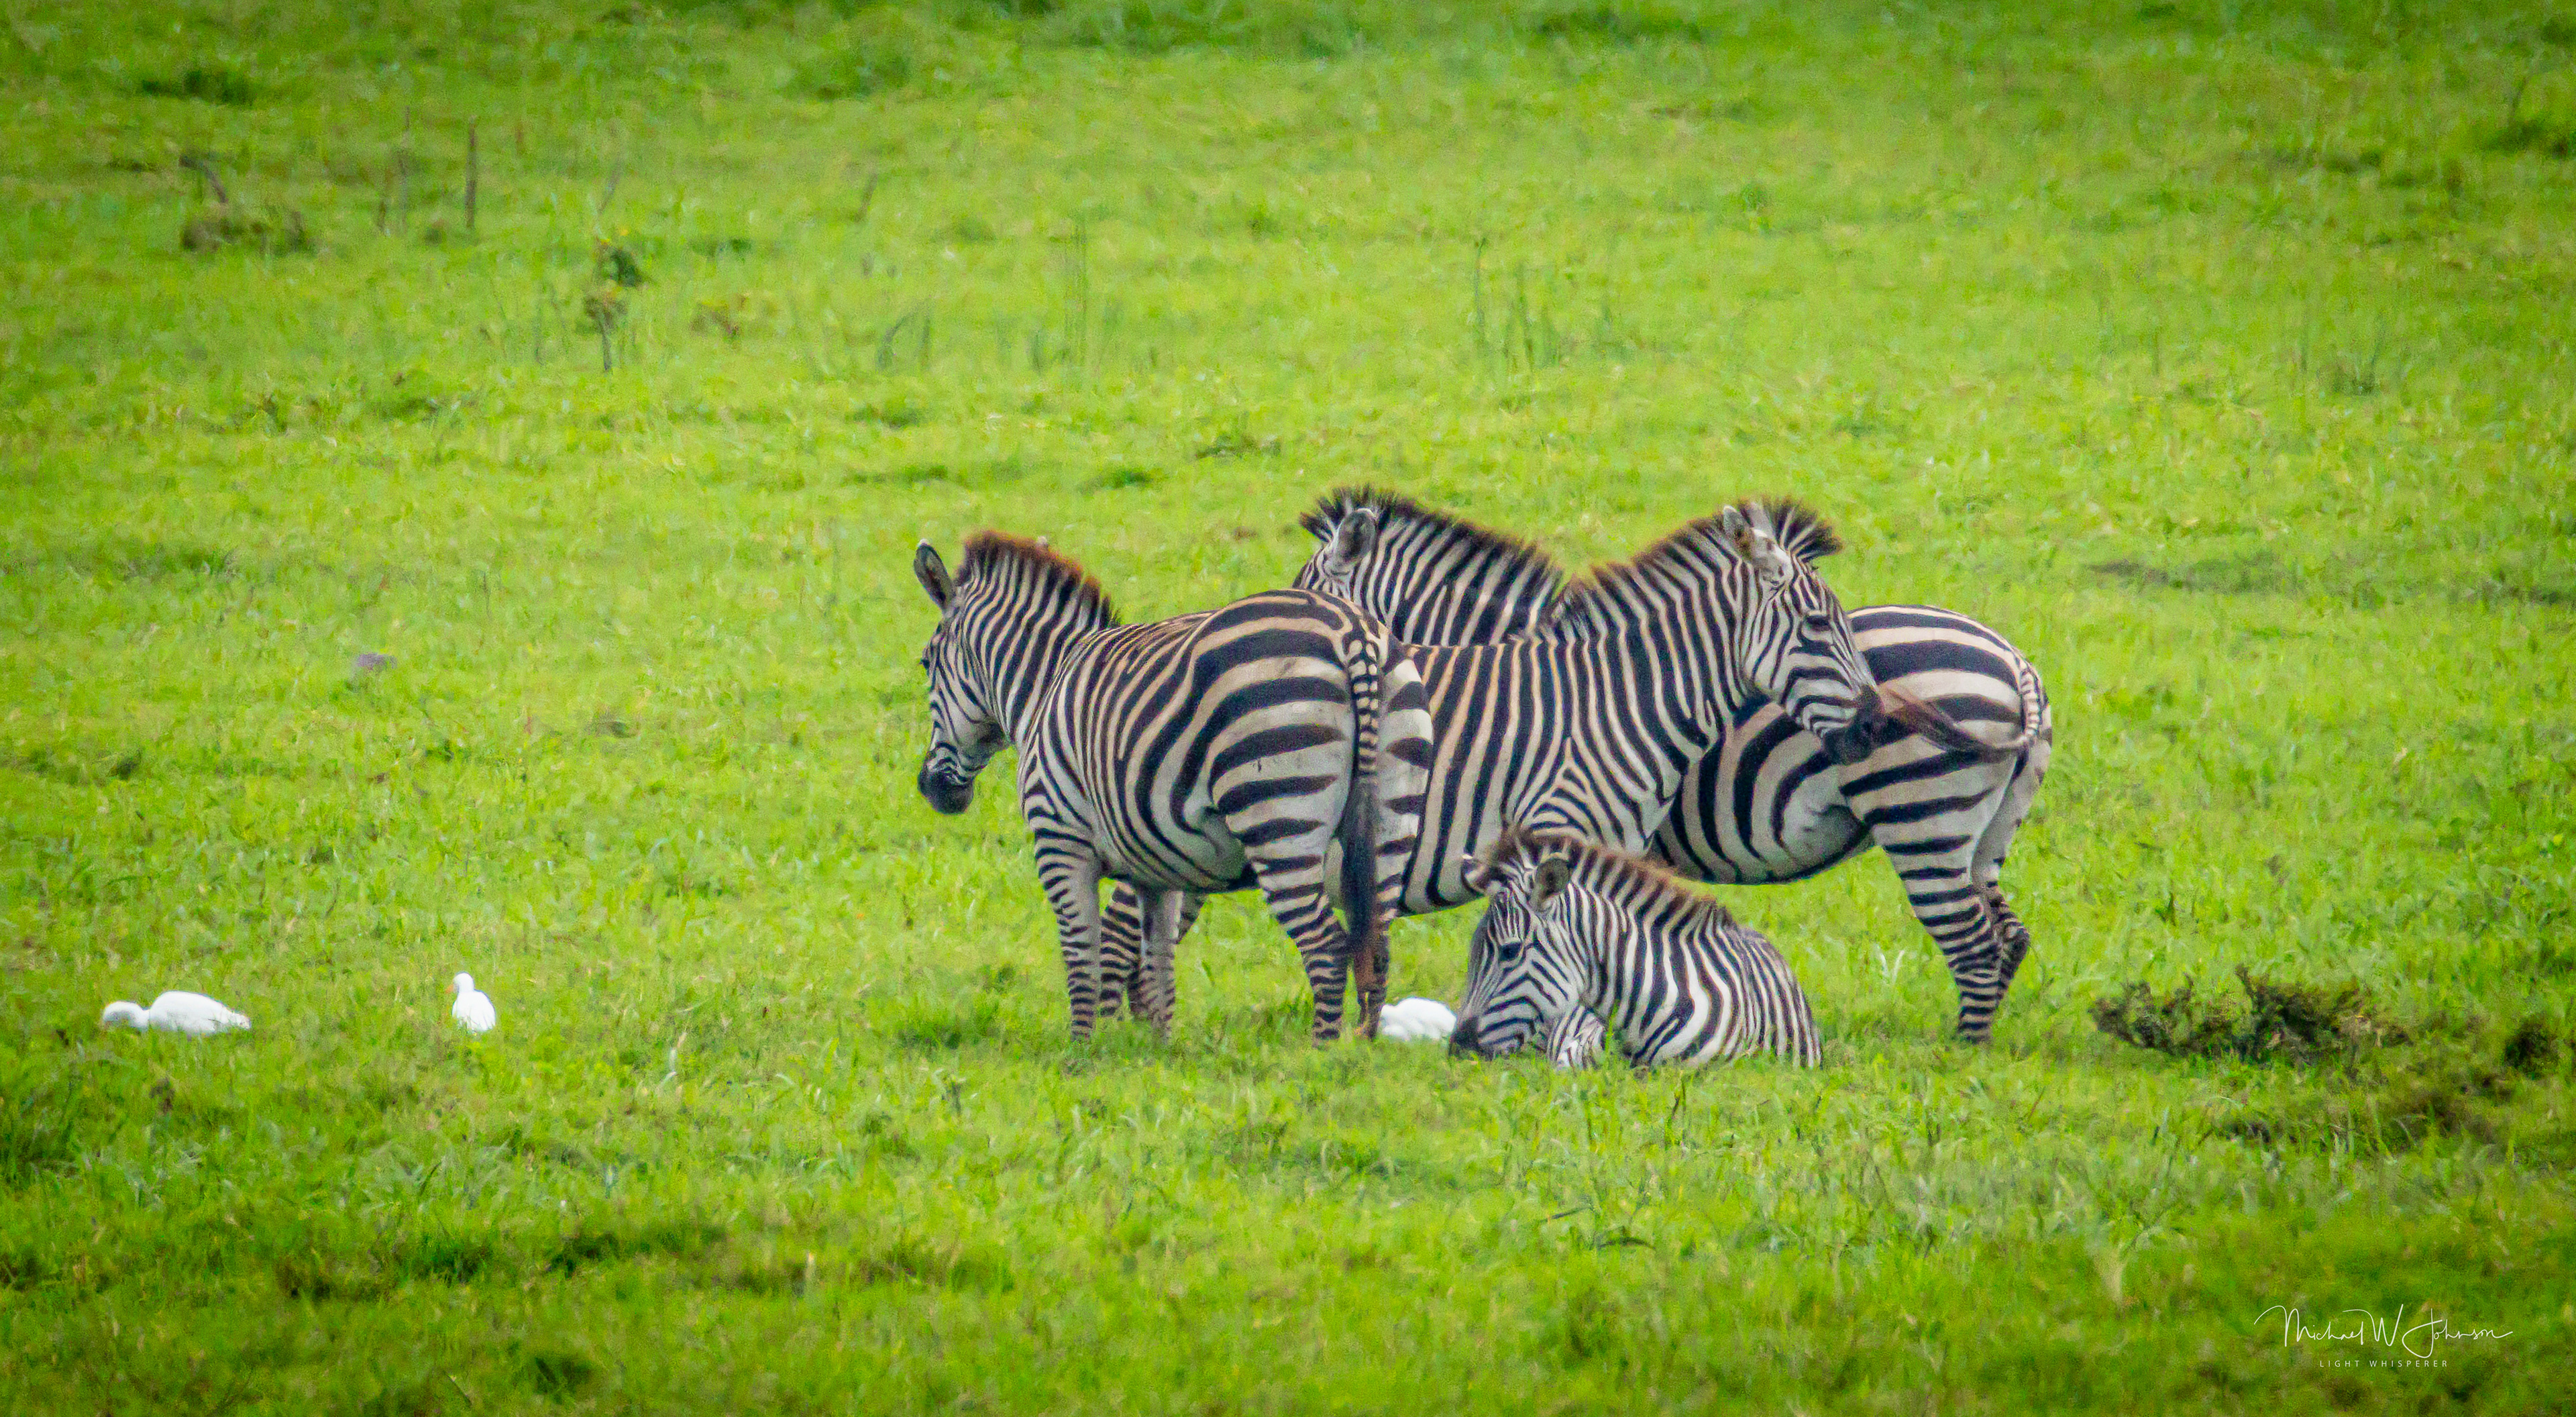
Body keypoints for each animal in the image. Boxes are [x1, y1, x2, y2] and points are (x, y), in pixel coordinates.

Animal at [911, 532, 1432, 1043]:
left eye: (925, 663)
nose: (931, 788)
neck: (1047, 687)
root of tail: (1353, 634)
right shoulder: (1156, 870)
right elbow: (1157, 963)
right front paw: (1158, 1052)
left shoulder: (1060, 840)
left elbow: (1083, 955)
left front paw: (1081, 1052)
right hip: (1391, 818)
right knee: (1376, 949)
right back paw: (1358, 1052)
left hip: (1279, 814)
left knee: (1326, 949)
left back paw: (1319, 1055)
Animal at [1292, 488, 2053, 1043]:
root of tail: (2016, 664)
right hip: (1979, 838)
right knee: (2008, 938)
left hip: (1922, 821)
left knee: (1974, 946)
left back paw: (1961, 1055)